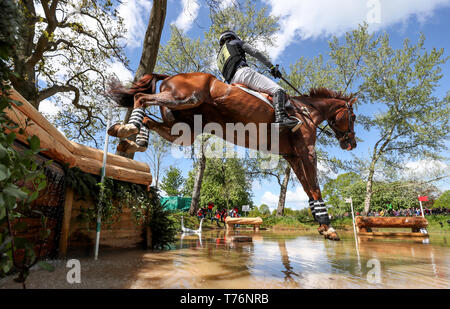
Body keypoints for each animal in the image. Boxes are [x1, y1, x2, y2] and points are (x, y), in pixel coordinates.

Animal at [107, 72, 356, 241]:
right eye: (352, 117)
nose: (351, 143)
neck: (306, 112)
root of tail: (171, 75)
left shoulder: (292, 157)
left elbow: (308, 189)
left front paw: (322, 225)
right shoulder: (306, 152)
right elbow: (315, 186)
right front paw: (329, 227)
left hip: (182, 130)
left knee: (148, 119)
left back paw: (132, 139)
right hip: (185, 98)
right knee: (141, 98)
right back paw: (126, 129)